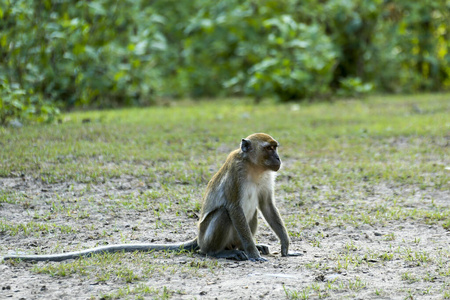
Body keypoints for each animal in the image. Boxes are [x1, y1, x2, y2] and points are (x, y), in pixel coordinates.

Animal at [3, 134, 300, 262]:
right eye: (270, 148)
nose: (278, 159)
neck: (253, 167)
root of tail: (198, 240)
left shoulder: (266, 178)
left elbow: (266, 206)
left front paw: (285, 246)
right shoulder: (236, 172)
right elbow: (235, 208)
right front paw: (253, 254)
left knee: (252, 214)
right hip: (207, 237)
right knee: (225, 216)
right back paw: (222, 253)